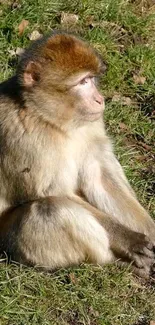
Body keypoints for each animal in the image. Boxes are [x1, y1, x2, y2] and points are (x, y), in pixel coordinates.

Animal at [0, 31, 154, 278]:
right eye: (82, 82)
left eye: (91, 79)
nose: (100, 99)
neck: (47, 118)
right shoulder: (23, 139)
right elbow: (53, 192)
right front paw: (128, 239)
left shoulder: (91, 124)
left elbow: (99, 174)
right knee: (50, 209)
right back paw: (115, 263)